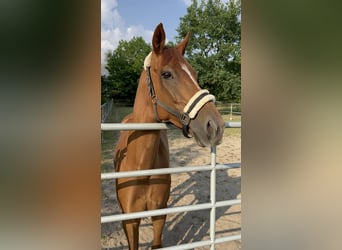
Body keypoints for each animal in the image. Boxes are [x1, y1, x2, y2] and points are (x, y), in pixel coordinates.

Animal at [113, 22, 223, 249]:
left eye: (195, 74)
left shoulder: (159, 216)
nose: (216, 126)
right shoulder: (130, 220)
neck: (142, 168)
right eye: (166, 74)